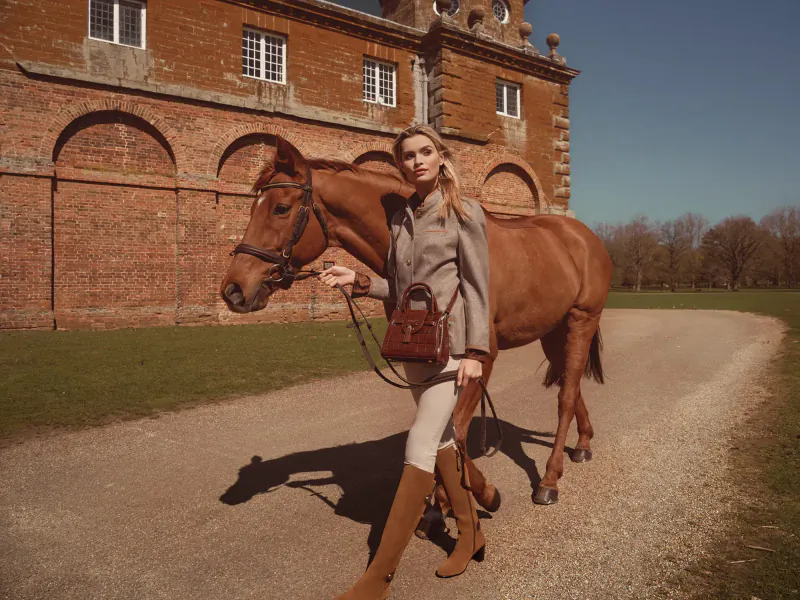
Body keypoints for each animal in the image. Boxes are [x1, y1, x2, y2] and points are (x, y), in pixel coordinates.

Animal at [220, 136, 612, 510]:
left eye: (281, 208)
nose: (234, 290)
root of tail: (583, 237)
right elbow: (442, 433)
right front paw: (451, 497)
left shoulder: (480, 358)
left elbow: (456, 428)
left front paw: (474, 495)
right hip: (553, 332)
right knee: (571, 385)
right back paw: (583, 443)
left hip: (581, 320)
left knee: (565, 395)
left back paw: (549, 480)